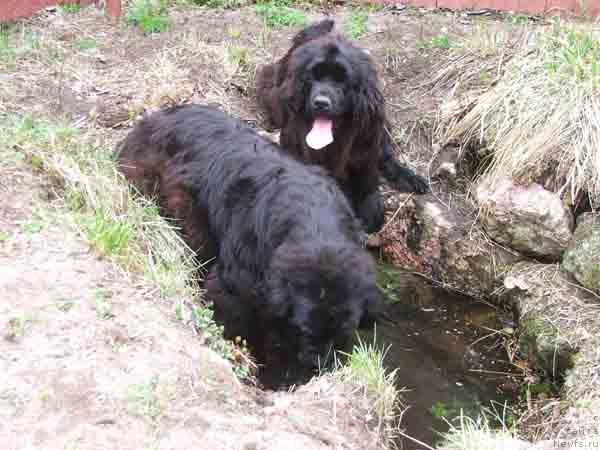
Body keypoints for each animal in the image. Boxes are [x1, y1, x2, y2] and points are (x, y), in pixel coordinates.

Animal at [115, 104, 382, 386]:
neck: (316, 225)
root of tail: (150, 120)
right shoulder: (237, 283)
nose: (317, 366)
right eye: (304, 330)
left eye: (342, 332)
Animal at [255, 18, 428, 234]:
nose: (321, 102)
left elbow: (369, 186)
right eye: (312, 76)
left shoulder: (366, 144)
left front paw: (369, 208)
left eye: (342, 80)